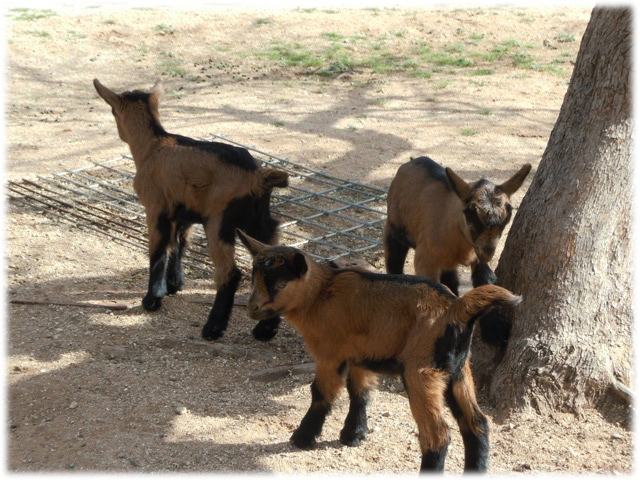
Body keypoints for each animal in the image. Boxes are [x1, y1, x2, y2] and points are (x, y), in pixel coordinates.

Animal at [92, 79, 288, 342]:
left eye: (113, 111)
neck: (153, 145)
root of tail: (257, 177)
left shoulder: (155, 208)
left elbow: (158, 251)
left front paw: (152, 299)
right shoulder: (183, 212)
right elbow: (178, 244)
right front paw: (174, 285)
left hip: (218, 222)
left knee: (229, 273)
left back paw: (213, 328)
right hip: (260, 222)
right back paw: (265, 330)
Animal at [238, 230, 524, 480]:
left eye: (280, 283)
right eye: (253, 278)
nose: (252, 309)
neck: (321, 294)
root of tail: (456, 308)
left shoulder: (330, 355)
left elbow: (321, 394)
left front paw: (303, 438)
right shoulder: (359, 355)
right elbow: (359, 392)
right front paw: (353, 435)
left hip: (421, 371)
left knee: (437, 434)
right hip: (459, 371)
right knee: (477, 424)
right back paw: (476, 473)